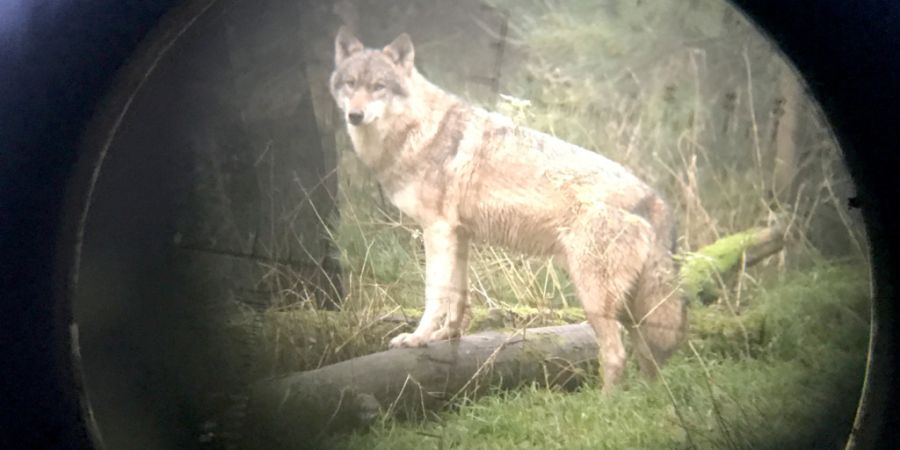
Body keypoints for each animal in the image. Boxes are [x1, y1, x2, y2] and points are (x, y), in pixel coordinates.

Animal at [329, 27, 686, 390]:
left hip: (594, 298)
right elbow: (458, 295)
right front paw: (447, 336)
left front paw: (418, 338)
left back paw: (605, 403)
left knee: (616, 356)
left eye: (379, 86)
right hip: (629, 310)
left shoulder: (437, 231)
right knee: (649, 361)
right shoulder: (459, 235)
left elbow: (435, 295)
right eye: (351, 84)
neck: (417, 130)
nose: (354, 115)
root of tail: (654, 198)